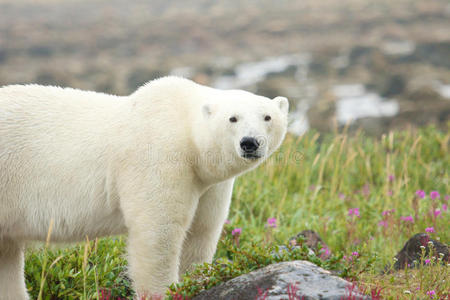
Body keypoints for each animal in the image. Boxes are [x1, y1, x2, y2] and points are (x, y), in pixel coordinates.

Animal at [0, 77, 288, 298]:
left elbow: (201, 232)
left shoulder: (207, 184)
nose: (250, 142)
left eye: (267, 117)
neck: (183, 126)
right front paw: (164, 292)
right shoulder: (158, 157)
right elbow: (158, 232)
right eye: (232, 118)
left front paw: (196, 281)